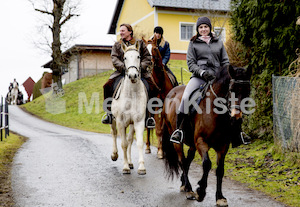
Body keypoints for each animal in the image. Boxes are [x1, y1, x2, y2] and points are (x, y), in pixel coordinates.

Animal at [109, 41, 148, 175]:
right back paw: (114, 155)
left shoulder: (138, 121)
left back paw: (131, 162)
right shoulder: (120, 122)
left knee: (130, 139)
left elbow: (139, 143)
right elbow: (124, 144)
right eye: (124, 58)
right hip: (114, 120)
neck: (132, 94)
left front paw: (141, 167)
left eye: (138, 56)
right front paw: (125, 167)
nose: (132, 75)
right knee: (114, 133)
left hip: (131, 124)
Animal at [162, 64, 251, 205]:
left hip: (192, 144)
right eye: (231, 89)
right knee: (182, 161)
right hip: (177, 140)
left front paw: (220, 197)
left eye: (248, 90)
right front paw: (201, 192)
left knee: (187, 161)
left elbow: (220, 170)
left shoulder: (223, 146)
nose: (236, 117)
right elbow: (207, 164)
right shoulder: (201, 141)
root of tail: (171, 92)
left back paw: (184, 185)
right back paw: (189, 189)